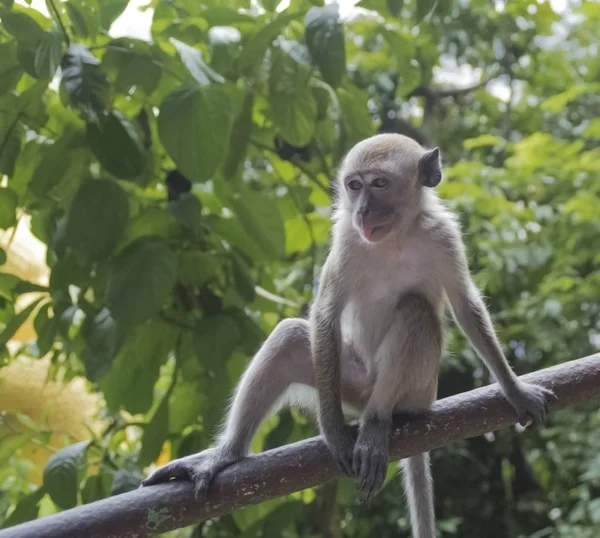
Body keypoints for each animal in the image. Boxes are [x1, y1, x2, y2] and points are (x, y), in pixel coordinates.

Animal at [142, 133, 556, 536]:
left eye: (379, 184)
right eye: (354, 186)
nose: (362, 211)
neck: (396, 236)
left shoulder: (444, 237)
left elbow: (466, 308)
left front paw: (515, 390)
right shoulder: (348, 239)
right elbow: (325, 315)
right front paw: (334, 432)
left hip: (417, 389)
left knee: (416, 313)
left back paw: (374, 425)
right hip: (350, 382)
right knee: (292, 337)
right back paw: (226, 455)